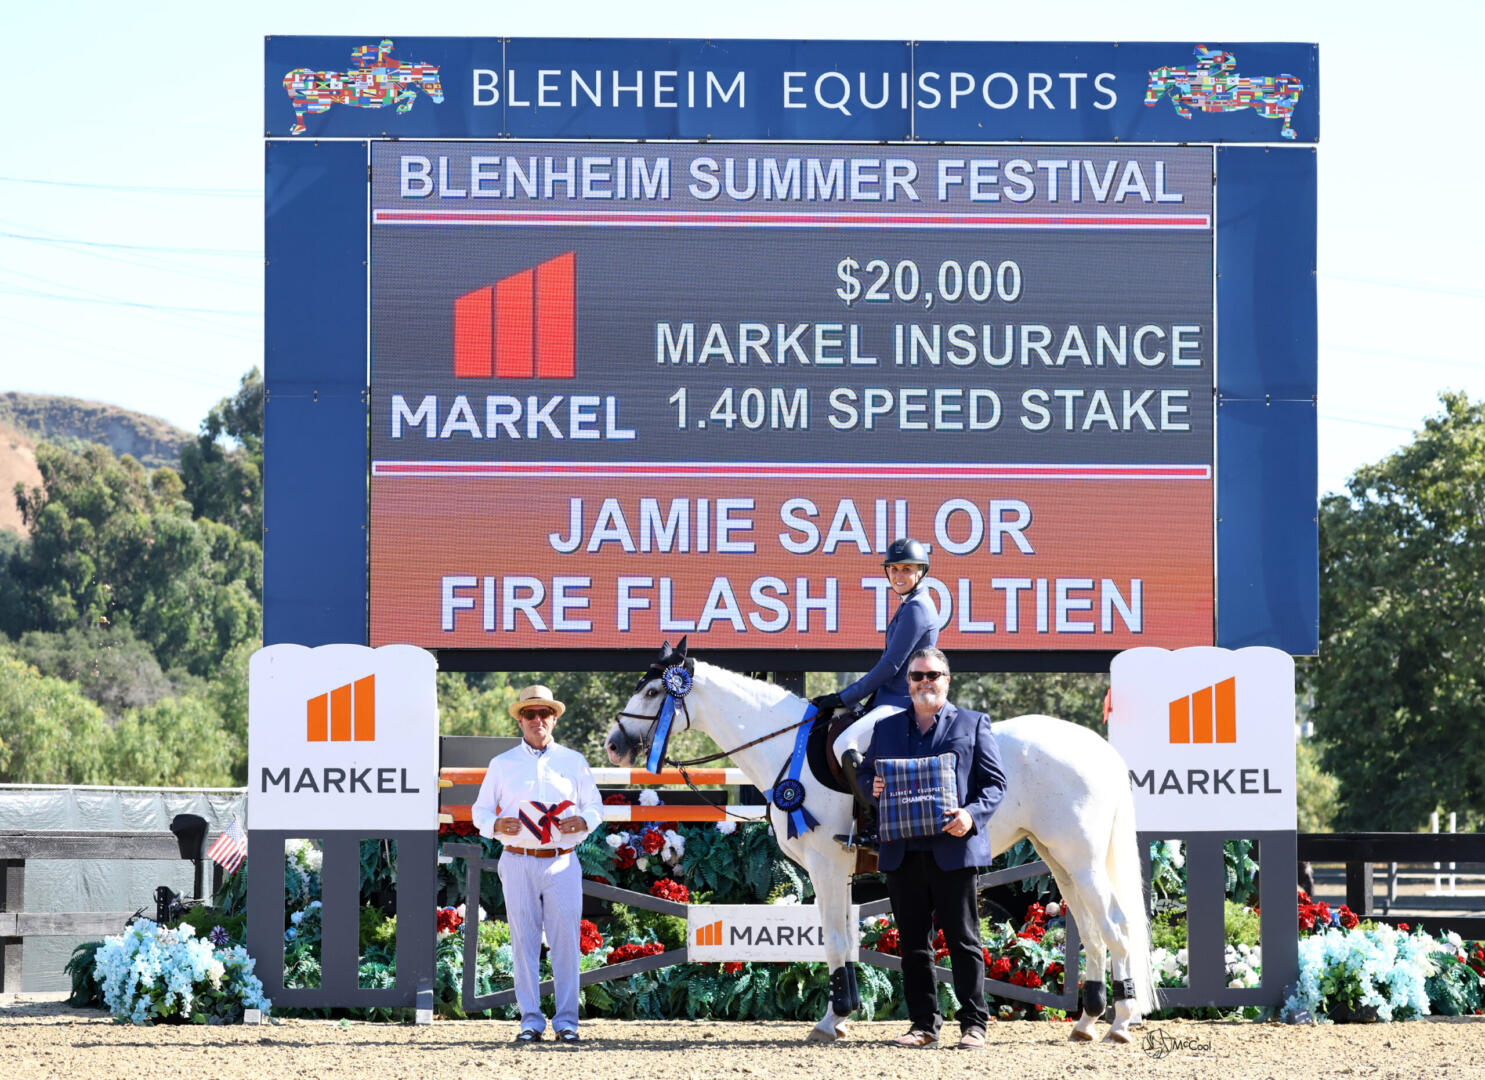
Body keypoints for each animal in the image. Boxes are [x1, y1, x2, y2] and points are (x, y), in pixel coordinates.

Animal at [605, 641, 1158, 1045]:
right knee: (1092, 930)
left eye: (653, 691)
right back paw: (1086, 1022)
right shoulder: (844, 869)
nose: (614, 746)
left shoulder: (826, 864)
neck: (787, 747)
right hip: (1058, 858)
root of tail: (1096, 745)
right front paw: (844, 1016)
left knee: (1116, 925)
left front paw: (832, 1020)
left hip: (1080, 860)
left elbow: (833, 938)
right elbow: (848, 938)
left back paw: (1121, 1021)